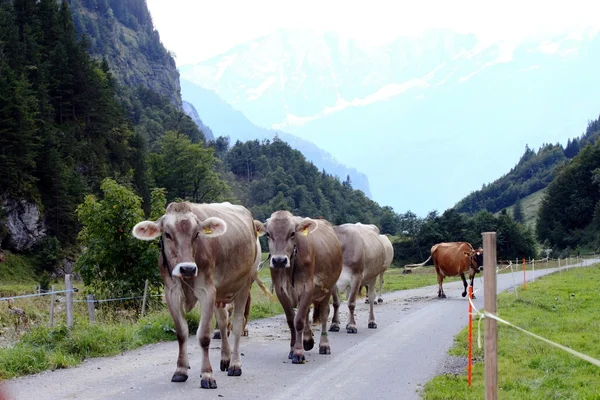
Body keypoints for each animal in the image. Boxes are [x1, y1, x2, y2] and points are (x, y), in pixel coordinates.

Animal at [132, 202, 258, 390]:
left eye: (197, 234)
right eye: (167, 234)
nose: (187, 268)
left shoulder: (207, 291)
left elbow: (204, 336)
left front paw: (207, 374)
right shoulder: (172, 292)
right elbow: (181, 332)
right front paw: (180, 370)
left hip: (244, 284)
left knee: (236, 324)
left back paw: (235, 364)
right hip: (220, 293)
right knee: (222, 323)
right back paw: (225, 359)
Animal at [255, 211, 344, 364]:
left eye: (292, 233)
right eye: (268, 234)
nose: (279, 260)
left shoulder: (308, 287)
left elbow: (299, 321)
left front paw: (298, 352)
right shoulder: (280, 290)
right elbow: (292, 320)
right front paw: (293, 350)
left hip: (328, 287)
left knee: (324, 313)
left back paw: (324, 345)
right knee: (307, 312)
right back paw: (307, 340)